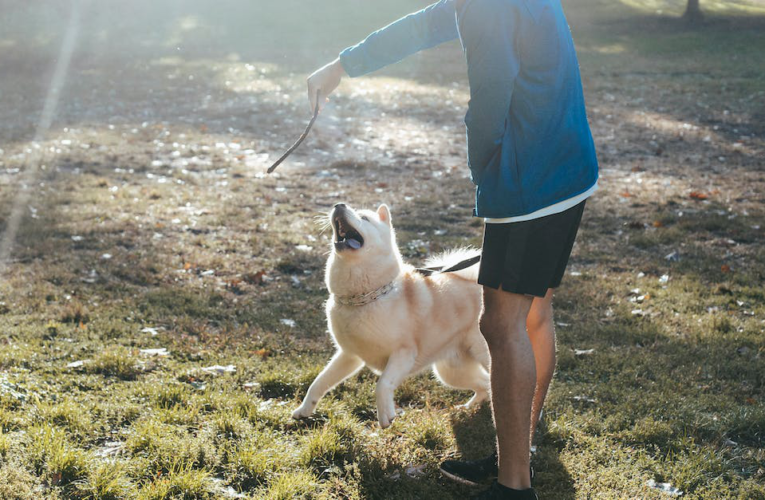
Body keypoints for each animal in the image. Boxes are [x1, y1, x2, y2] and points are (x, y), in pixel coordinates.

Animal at [292, 201, 490, 428]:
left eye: (364, 218)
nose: (339, 205)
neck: (364, 298)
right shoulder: (349, 355)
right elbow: (319, 382)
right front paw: (304, 410)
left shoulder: (404, 353)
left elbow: (383, 383)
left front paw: (385, 414)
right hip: (451, 372)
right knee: (485, 384)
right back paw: (470, 407)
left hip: (482, 356)